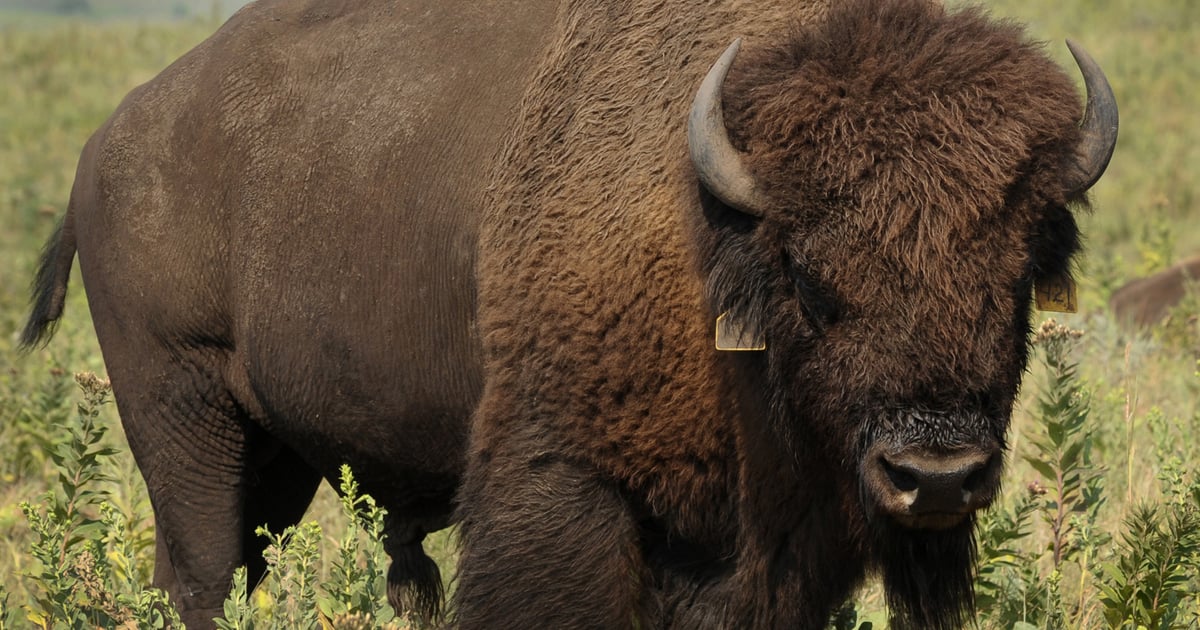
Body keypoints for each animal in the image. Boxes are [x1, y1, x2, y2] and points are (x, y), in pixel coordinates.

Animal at [23, 0, 1117, 628]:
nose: (937, 474)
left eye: (1018, 272)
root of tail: (100, 151)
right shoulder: (565, 478)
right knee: (204, 569)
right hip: (183, 408)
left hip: (276, 453)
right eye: (806, 277)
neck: (707, 225)